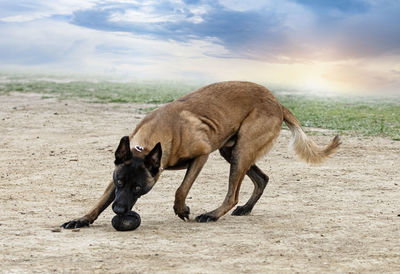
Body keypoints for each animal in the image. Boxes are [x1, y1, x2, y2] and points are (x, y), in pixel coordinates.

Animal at [62, 81, 340, 229]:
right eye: (120, 182)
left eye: (140, 188)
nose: (119, 210)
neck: (153, 140)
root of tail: (278, 103)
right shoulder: (119, 169)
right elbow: (100, 200)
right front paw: (82, 219)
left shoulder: (201, 156)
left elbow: (181, 189)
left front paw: (182, 210)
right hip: (232, 150)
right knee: (262, 179)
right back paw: (246, 209)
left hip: (240, 152)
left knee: (232, 195)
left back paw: (213, 214)